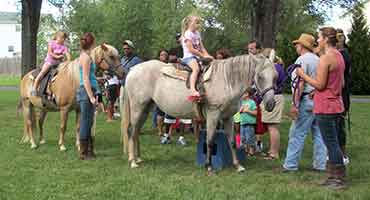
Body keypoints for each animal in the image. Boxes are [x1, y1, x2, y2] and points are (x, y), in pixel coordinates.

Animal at [123, 53, 276, 173]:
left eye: (275, 77)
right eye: (260, 76)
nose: (270, 104)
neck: (226, 81)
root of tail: (133, 70)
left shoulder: (228, 117)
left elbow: (232, 141)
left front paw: (238, 166)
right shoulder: (213, 115)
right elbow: (210, 140)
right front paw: (209, 166)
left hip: (145, 108)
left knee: (136, 132)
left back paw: (138, 158)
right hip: (137, 108)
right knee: (131, 131)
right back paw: (132, 161)